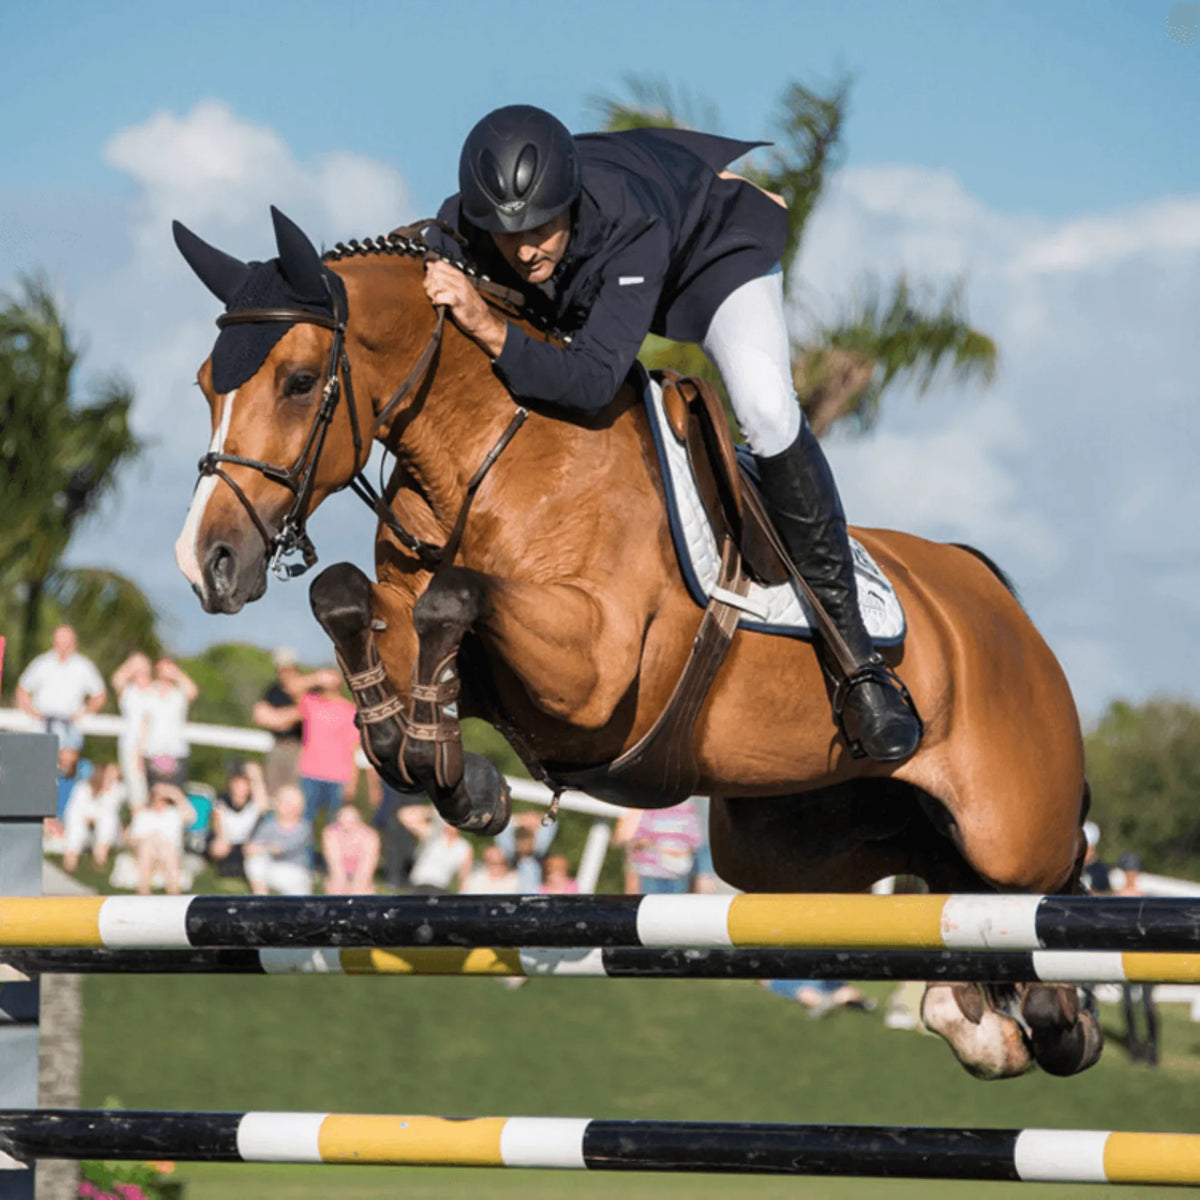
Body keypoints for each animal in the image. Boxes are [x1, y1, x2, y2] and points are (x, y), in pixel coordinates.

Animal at [172, 207, 1100, 1081]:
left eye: (299, 382)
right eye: (205, 385)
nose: (207, 562)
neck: (491, 457)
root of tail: (995, 598)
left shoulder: (595, 670)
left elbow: (456, 596)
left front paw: (445, 761)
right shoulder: (439, 633)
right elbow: (348, 602)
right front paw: (453, 772)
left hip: (1011, 827)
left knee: (1052, 878)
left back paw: (1062, 1019)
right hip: (784, 847)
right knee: (941, 871)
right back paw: (980, 1018)